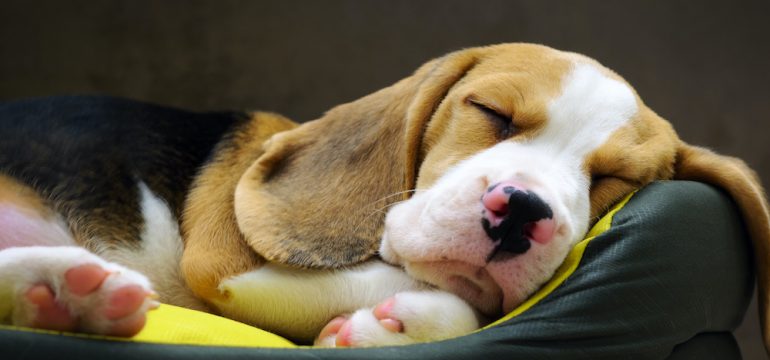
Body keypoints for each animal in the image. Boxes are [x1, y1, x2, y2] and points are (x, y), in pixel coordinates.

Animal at [1, 43, 768, 350]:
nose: (521, 211)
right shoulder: (223, 269)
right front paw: (401, 316)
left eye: (614, 181)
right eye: (490, 112)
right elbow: (432, 292)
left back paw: (63, 294)